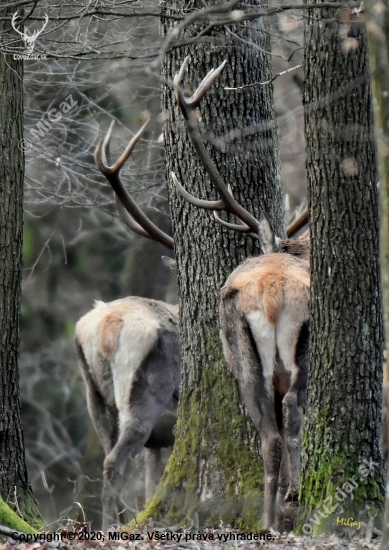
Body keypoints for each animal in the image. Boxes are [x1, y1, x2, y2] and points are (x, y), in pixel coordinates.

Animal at [76, 122, 180, 536]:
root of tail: (105, 327)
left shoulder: (161, 441)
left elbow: (154, 485)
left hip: (95, 398)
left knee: (106, 457)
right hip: (142, 400)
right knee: (112, 464)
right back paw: (110, 528)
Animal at [170, 59, 310, 536]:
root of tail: (273, 295)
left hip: (247, 356)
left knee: (271, 431)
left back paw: (269, 519)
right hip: (298, 347)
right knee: (290, 412)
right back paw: (289, 500)